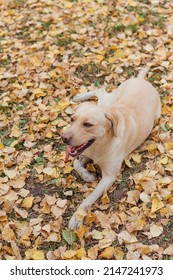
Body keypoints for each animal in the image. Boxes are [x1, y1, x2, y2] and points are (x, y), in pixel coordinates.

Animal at [60, 68, 161, 230]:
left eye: (87, 124)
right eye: (72, 119)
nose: (63, 137)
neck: (99, 145)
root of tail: (141, 80)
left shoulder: (109, 177)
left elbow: (88, 198)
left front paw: (77, 216)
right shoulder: (84, 153)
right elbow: (76, 164)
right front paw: (87, 175)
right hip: (109, 101)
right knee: (101, 91)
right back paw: (80, 96)